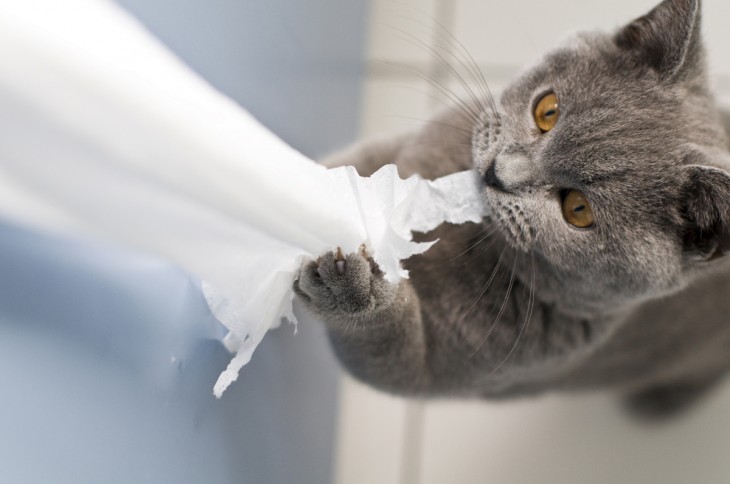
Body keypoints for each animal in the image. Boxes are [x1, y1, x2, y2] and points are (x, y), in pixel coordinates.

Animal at [292, 0, 728, 418]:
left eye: (579, 209)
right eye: (547, 111)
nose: (497, 172)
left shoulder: (445, 367)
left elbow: (388, 343)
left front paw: (349, 283)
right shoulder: (404, 150)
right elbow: (349, 166)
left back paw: (659, 403)